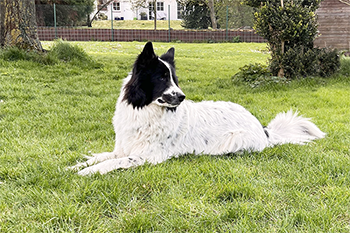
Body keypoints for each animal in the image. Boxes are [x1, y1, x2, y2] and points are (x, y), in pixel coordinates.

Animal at [68, 41, 326, 175]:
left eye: (174, 79)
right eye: (162, 78)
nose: (182, 97)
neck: (146, 112)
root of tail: (263, 129)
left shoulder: (147, 156)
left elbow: (112, 162)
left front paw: (87, 172)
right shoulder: (122, 148)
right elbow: (101, 156)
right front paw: (75, 166)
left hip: (233, 141)